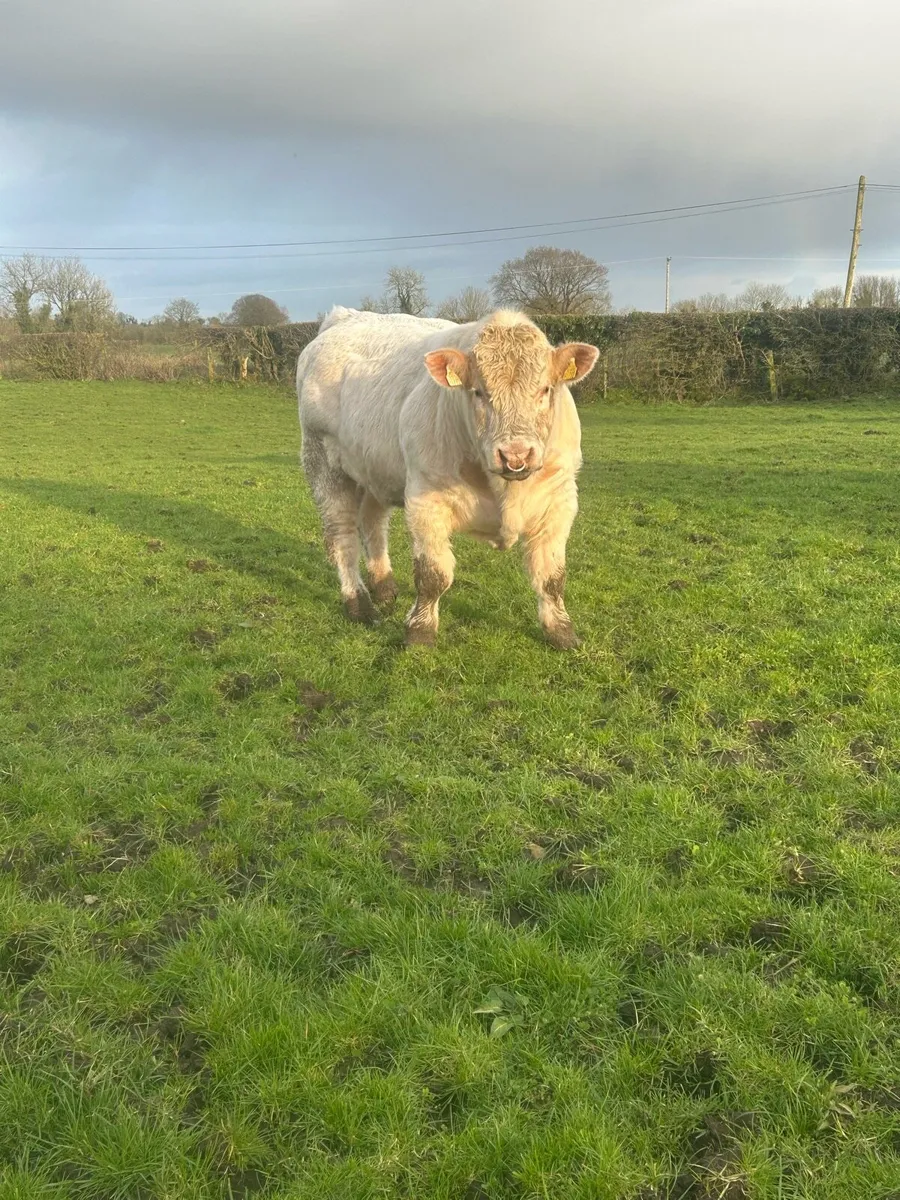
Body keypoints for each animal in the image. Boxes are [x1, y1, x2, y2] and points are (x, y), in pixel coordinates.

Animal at [296, 306, 599, 649]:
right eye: (478, 392)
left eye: (545, 389)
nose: (515, 455)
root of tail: (345, 316)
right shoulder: (426, 499)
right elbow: (433, 575)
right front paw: (420, 632)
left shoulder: (559, 499)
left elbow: (551, 576)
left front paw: (561, 631)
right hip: (323, 461)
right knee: (342, 537)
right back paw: (359, 605)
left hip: (374, 469)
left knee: (372, 524)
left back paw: (384, 587)